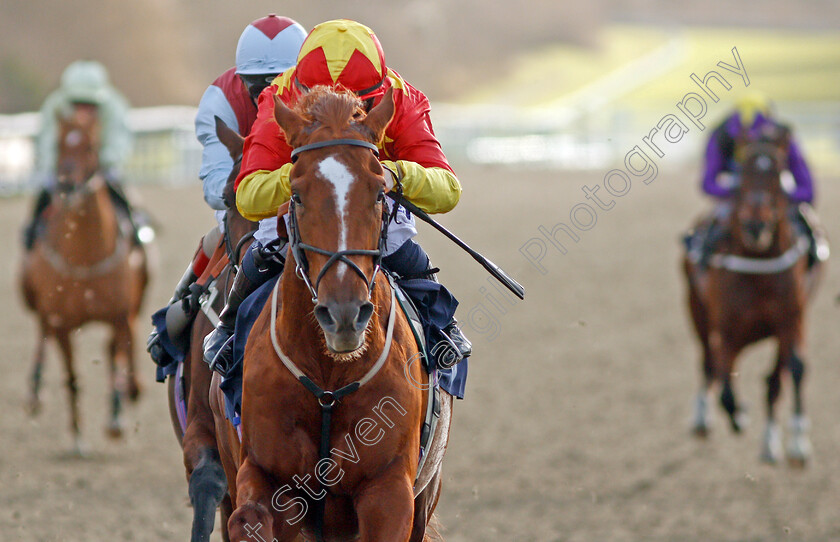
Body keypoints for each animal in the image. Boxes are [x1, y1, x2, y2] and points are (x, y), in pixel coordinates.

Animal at [20, 107, 149, 454]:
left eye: (90, 146)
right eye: (59, 144)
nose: (65, 184)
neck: (85, 258)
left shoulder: (119, 317)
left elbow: (118, 358)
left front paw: (116, 419)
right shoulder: (63, 324)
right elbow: (72, 377)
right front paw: (77, 435)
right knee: (42, 332)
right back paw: (35, 389)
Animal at [208, 87, 452, 540]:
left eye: (379, 193)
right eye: (297, 194)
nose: (343, 314)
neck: (328, 376)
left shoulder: (390, 492)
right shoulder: (267, 476)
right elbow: (248, 518)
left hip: (426, 493)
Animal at [684, 131, 828, 468]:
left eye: (778, 173)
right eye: (744, 174)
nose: (756, 224)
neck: (758, 261)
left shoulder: (791, 318)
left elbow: (794, 370)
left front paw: (796, 443)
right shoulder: (726, 326)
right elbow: (724, 382)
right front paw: (740, 416)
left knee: (771, 379)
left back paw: (770, 441)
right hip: (696, 310)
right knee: (709, 362)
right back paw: (703, 418)